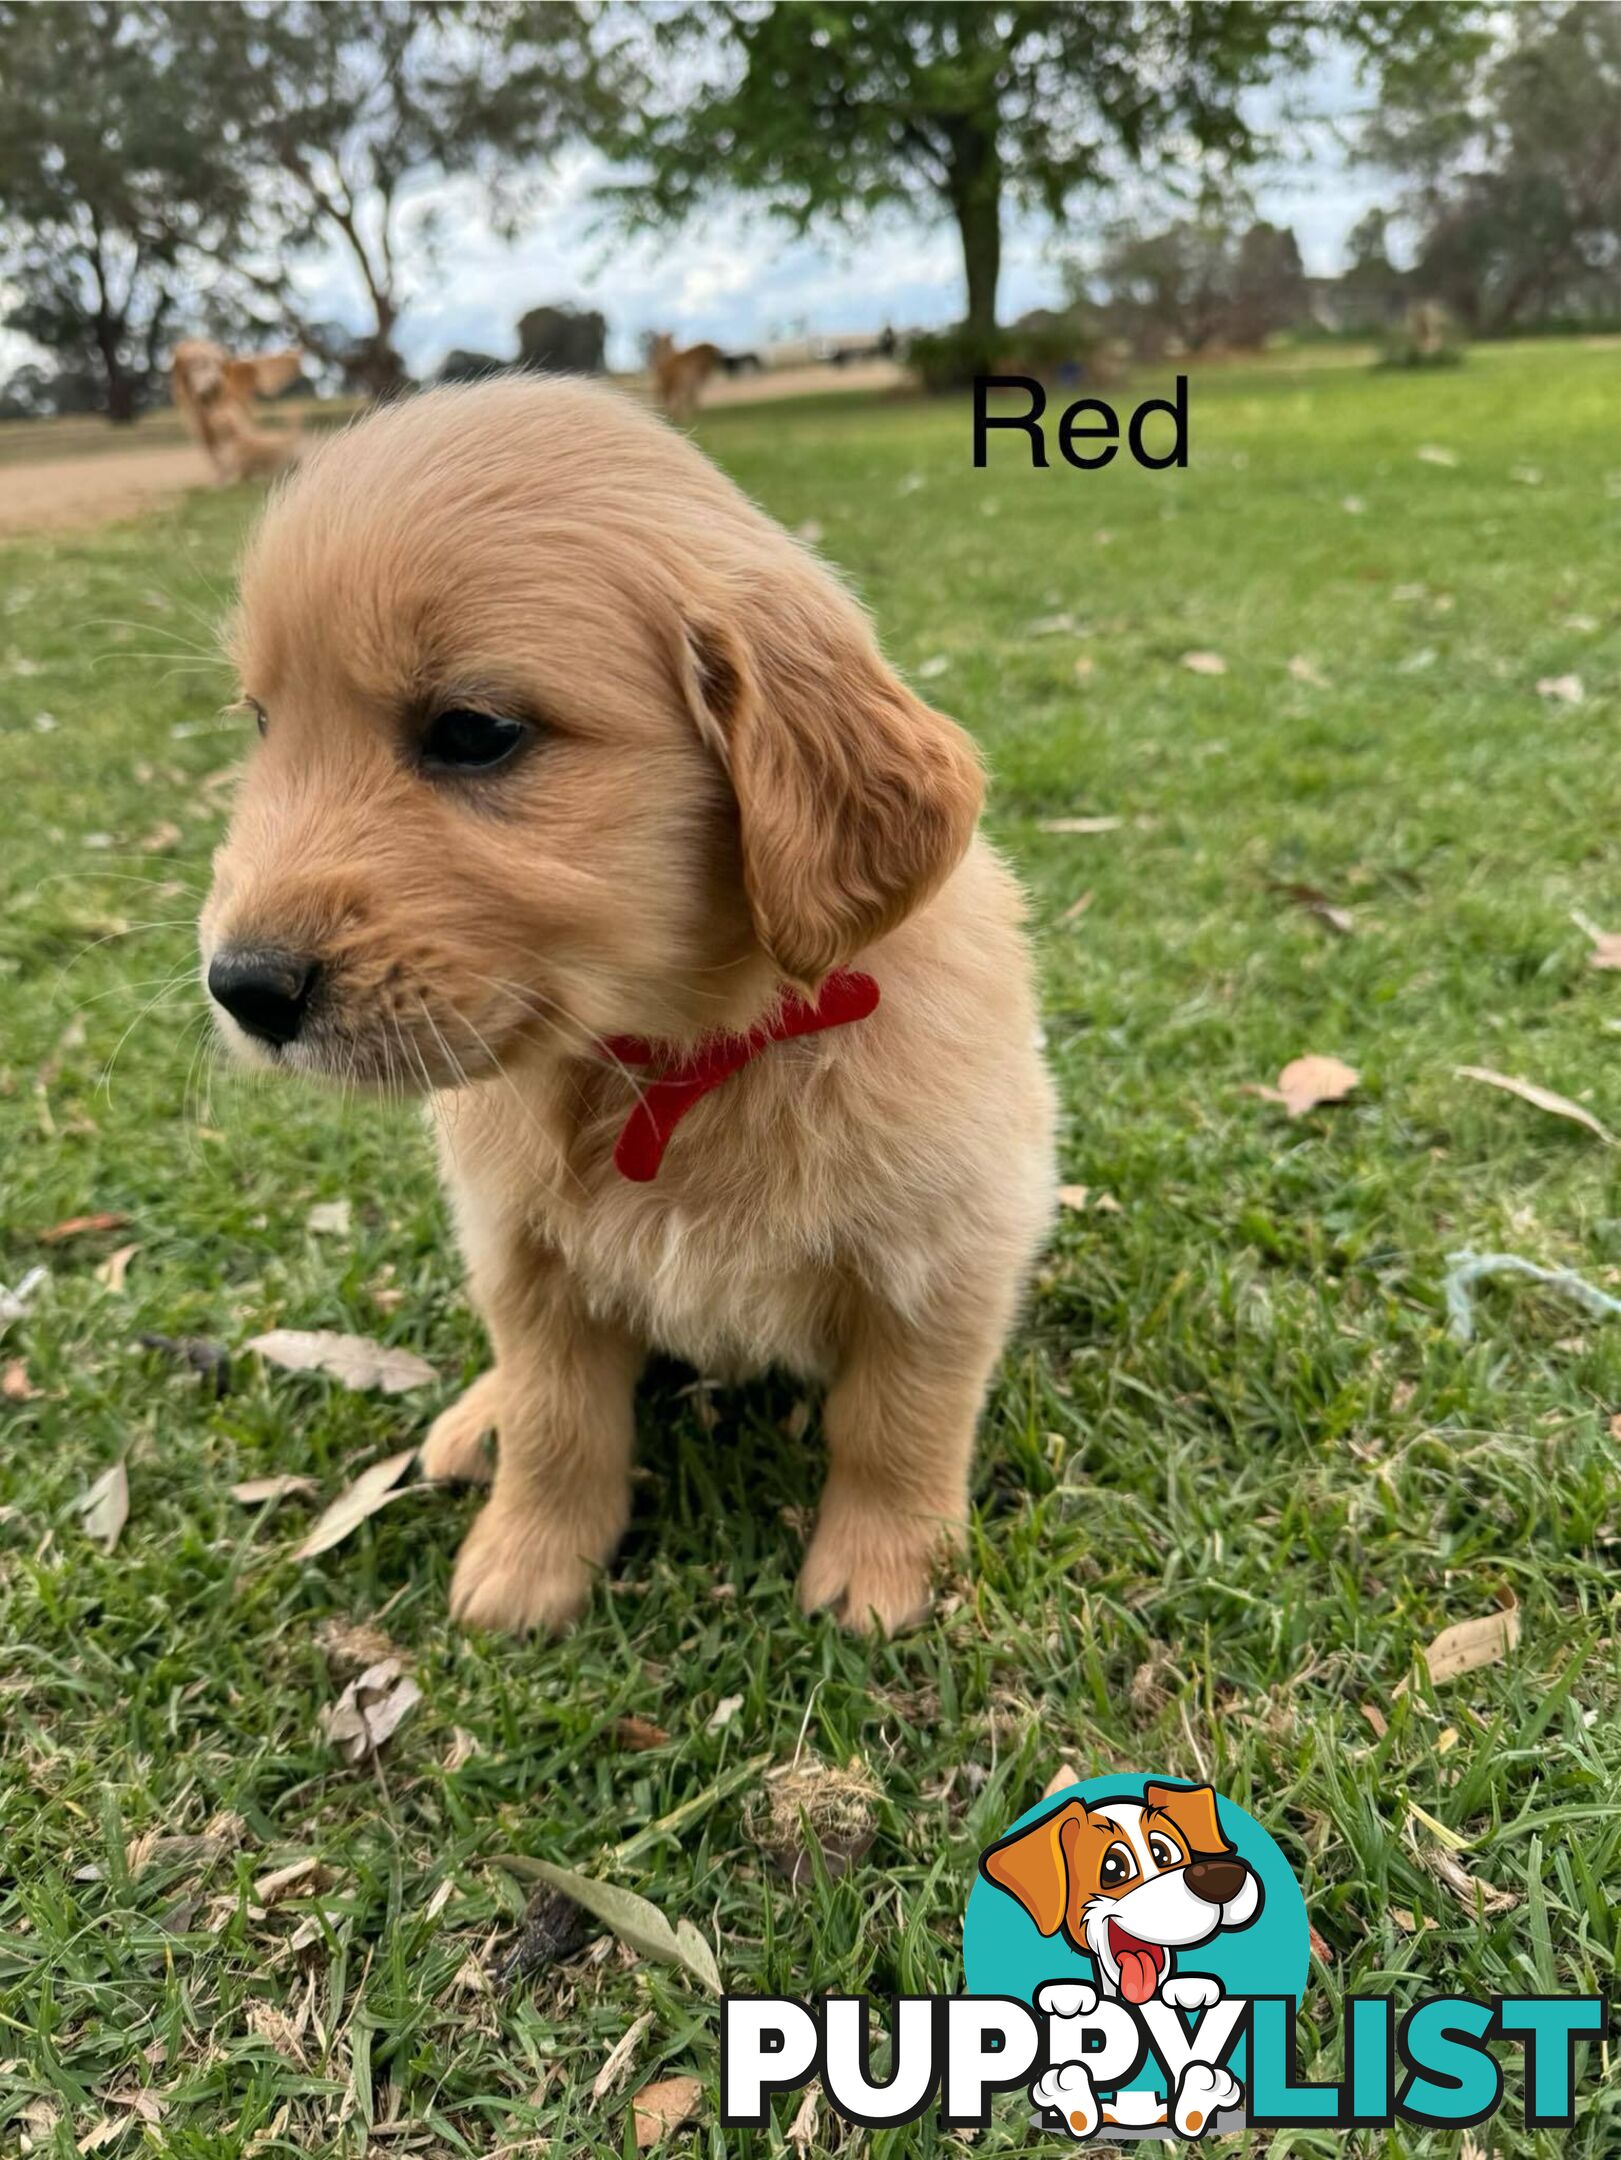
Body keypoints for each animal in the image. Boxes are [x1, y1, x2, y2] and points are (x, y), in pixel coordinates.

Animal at [203, 384, 1059, 1632]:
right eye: (265, 724)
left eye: (474, 732)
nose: (241, 986)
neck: (676, 1056)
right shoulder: (522, 1258)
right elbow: (555, 1418)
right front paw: (525, 1562)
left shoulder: (944, 1251)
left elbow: (898, 1419)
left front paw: (883, 1568)